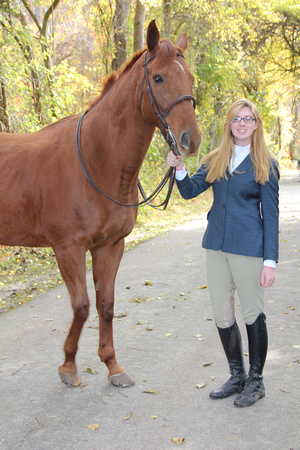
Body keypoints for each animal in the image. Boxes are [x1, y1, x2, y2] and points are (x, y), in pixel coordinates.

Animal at [0, 20, 202, 386]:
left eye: (190, 78)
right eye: (158, 78)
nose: (190, 140)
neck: (96, 161)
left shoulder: (110, 245)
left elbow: (105, 304)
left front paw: (113, 366)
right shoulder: (68, 248)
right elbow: (81, 306)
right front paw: (68, 367)